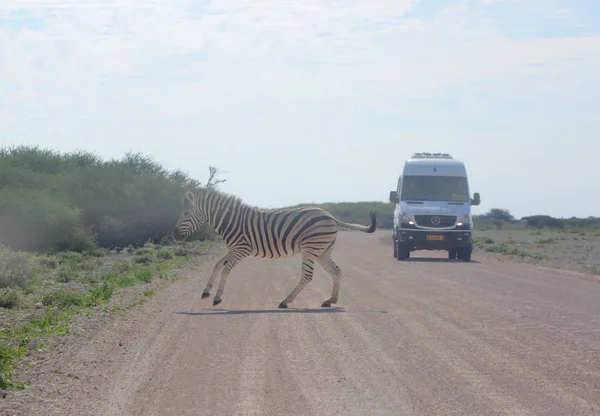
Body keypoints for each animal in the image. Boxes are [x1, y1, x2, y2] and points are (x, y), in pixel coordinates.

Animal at [172, 188, 376, 308]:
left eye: (187, 213)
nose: (175, 236)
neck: (232, 221)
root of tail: (331, 217)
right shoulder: (233, 248)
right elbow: (217, 265)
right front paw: (206, 291)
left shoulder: (242, 249)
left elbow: (226, 269)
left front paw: (217, 297)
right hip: (323, 251)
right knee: (336, 271)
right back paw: (330, 300)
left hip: (311, 248)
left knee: (308, 276)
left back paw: (286, 301)